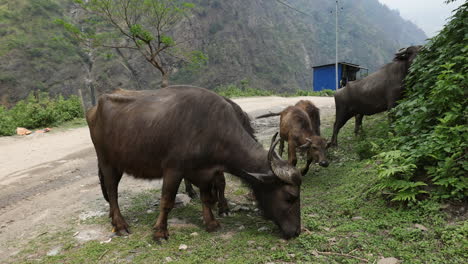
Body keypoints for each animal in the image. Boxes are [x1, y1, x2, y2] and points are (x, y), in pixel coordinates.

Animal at [86, 85, 302, 240]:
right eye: (290, 197)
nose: (296, 232)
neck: (211, 129)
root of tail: (95, 108)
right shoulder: (173, 169)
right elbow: (167, 201)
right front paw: (160, 232)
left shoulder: (206, 171)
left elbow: (207, 197)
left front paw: (211, 222)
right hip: (107, 162)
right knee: (112, 191)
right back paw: (120, 225)